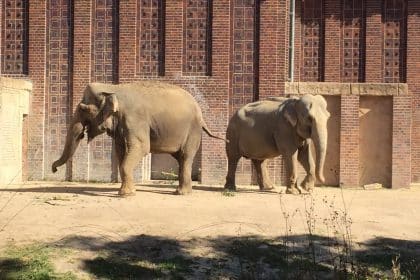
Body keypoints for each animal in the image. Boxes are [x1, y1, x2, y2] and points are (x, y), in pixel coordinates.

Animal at [52, 80, 226, 196]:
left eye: (84, 109)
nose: (54, 169)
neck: (114, 88)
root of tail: (200, 113)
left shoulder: (135, 119)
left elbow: (141, 148)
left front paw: (125, 194)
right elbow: (121, 152)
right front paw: (127, 191)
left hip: (192, 131)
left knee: (186, 157)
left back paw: (182, 193)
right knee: (181, 159)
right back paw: (182, 192)